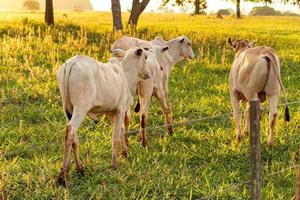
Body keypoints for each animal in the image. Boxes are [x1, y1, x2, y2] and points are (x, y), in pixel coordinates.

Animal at [56, 47, 150, 186]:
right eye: (146, 57)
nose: (148, 74)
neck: (126, 75)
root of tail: (72, 62)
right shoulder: (120, 109)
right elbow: (116, 137)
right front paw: (114, 164)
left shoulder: (111, 112)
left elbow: (122, 130)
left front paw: (125, 152)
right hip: (81, 108)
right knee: (70, 131)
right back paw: (63, 176)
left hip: (67, 109)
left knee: (74, 137)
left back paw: (80, 168)